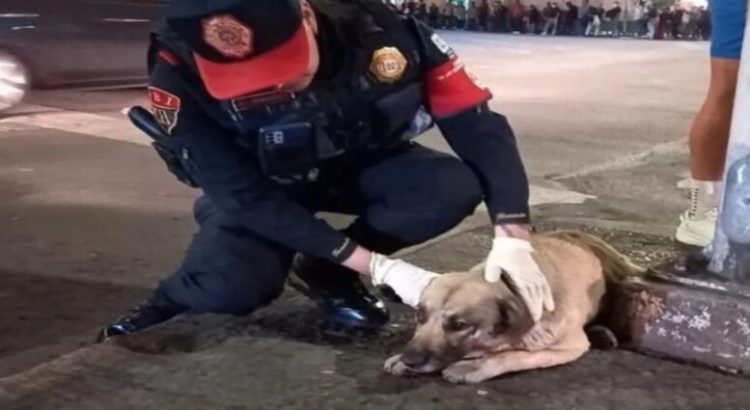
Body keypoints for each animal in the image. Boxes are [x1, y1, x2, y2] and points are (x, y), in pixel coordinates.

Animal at [384, 231, 644, 384]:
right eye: (420, 315)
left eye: (459, 325)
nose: (410, 359)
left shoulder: (569, 346)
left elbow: (514, 355)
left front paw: (477, 364)